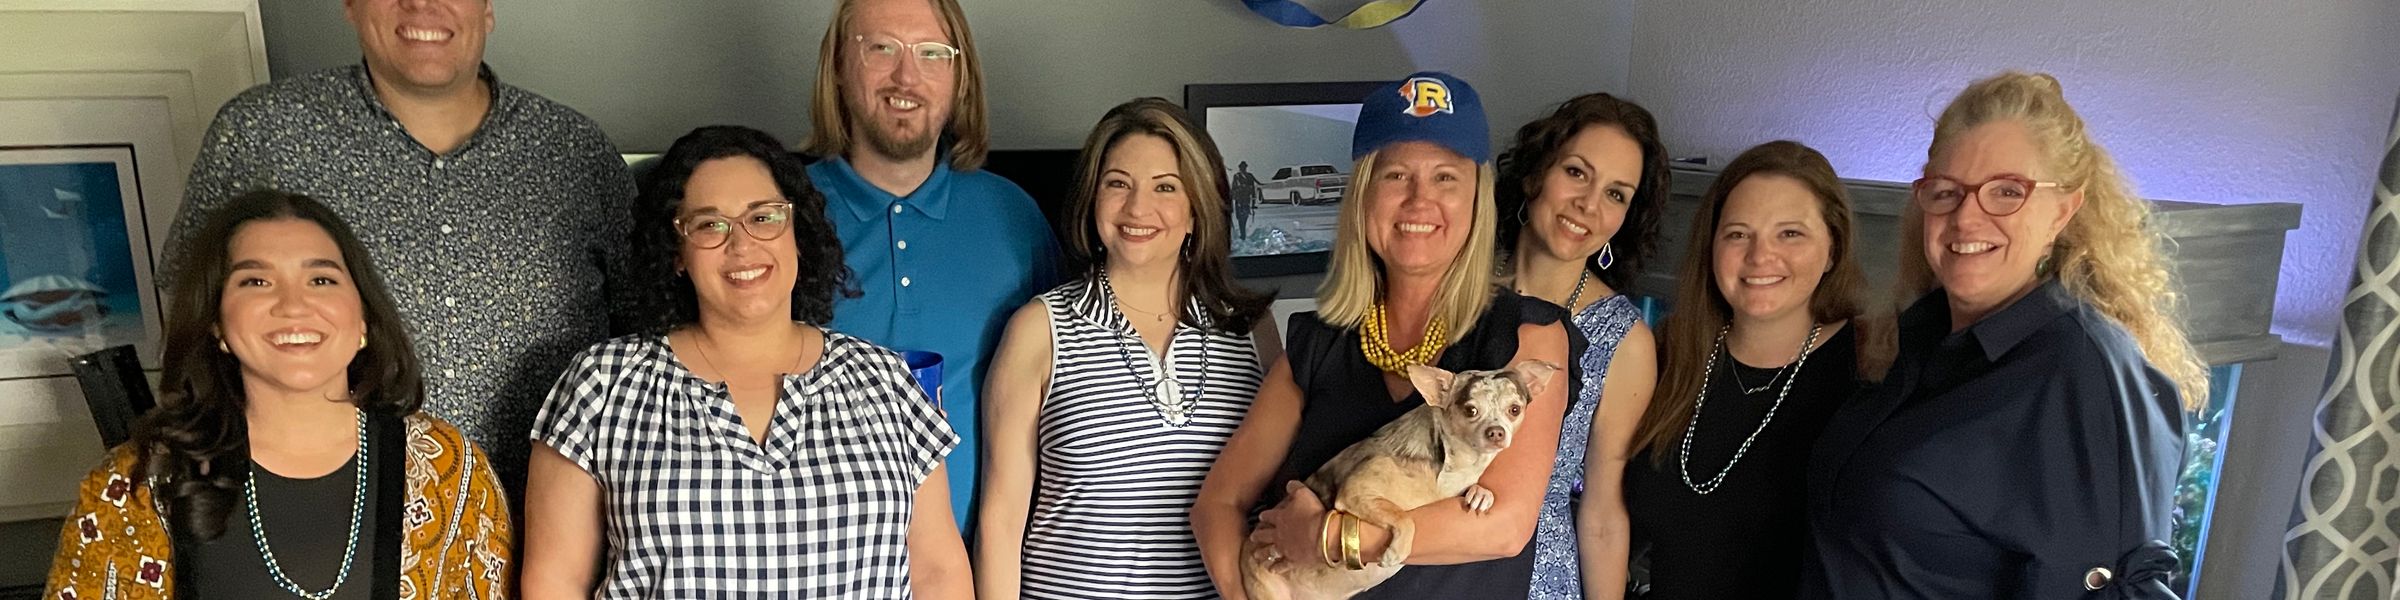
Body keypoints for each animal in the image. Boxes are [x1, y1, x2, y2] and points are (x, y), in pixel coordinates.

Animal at [1248, 360, 1564, 600]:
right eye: (1470, 410)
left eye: (1515, 409)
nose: (1496, 432)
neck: (1455, 466)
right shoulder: (1356, 491)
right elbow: (1404, 517)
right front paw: (1396, 551)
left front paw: (1480, 493)